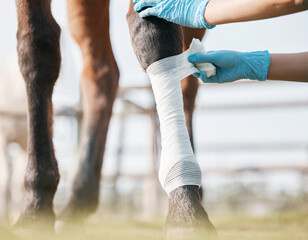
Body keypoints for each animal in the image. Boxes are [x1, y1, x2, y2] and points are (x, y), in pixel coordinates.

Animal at [14, 0, 215, 236]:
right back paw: (77, 203)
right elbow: (36, 48)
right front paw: (35, 209)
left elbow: (154, 33)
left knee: (187, 82)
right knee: (102, 74)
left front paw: (184, 211)